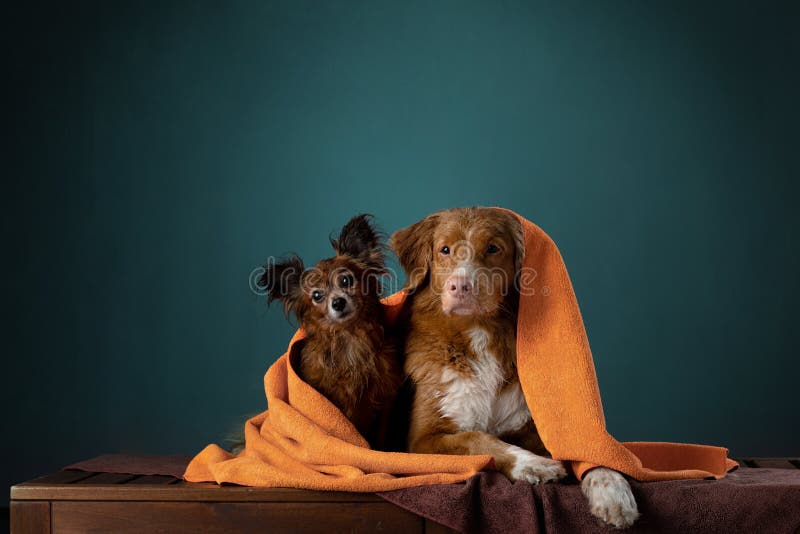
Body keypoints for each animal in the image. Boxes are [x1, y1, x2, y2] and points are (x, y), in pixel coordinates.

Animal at [260, 214, 404, 448]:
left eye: (346, 280)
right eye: (317, 296)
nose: (338, 302)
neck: (350, 337)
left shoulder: (385, 397)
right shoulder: (335, 403)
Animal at [390, 207, 640, 528]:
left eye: (493, 249)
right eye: (444, 250)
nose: (460, 286)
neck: (480, 331)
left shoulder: (535, 426)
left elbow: (585, 451)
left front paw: (613, 491)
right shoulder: (421, 440)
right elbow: (477, 439)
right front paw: (533, 464)